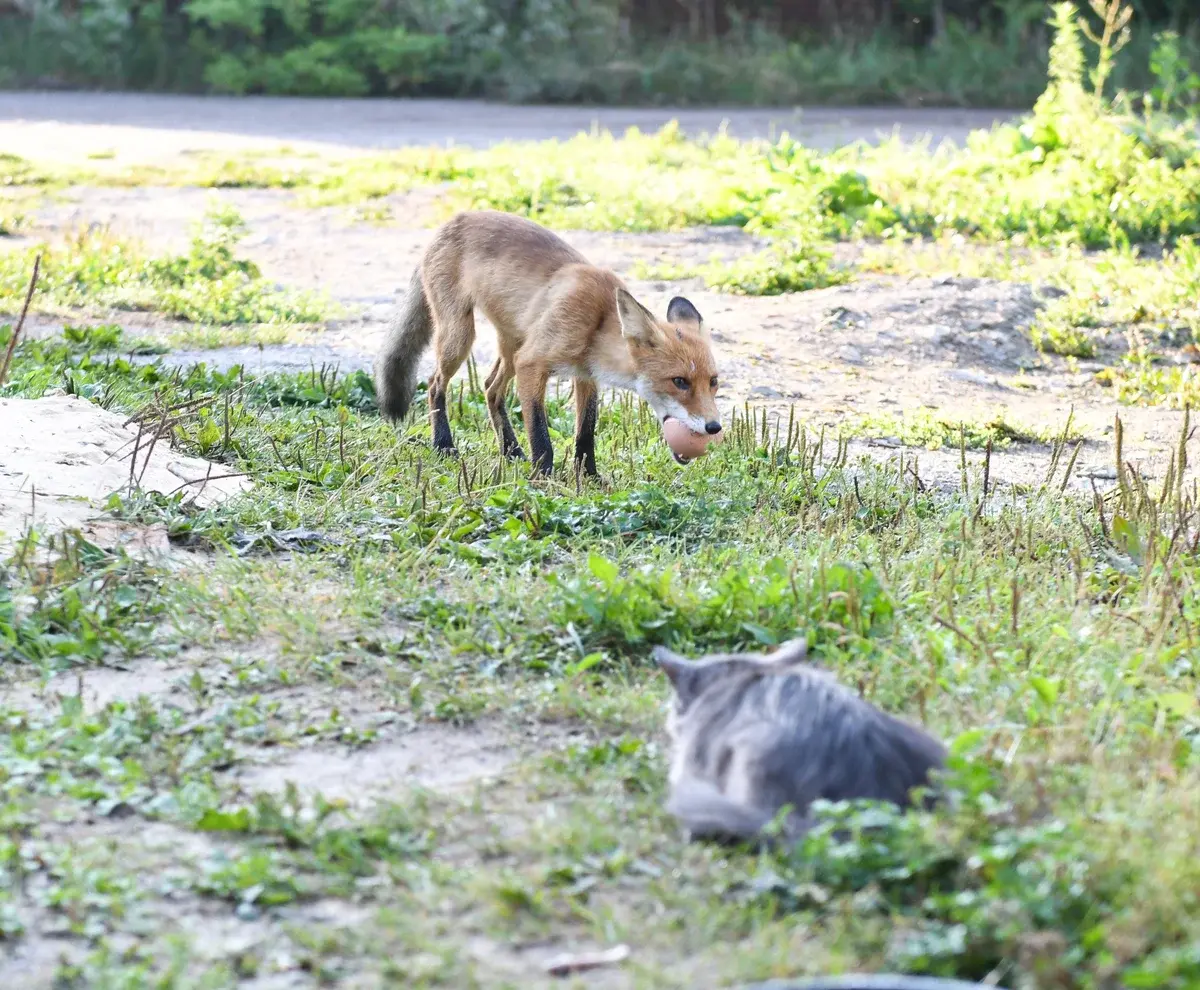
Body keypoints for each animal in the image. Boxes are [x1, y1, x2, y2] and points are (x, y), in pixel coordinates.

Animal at [372, 208, 720, 475]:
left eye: (713, 382)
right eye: (679, 381)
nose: (714, 427)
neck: (597, 319)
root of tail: (452, 220)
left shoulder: (585, 375)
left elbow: (585, 432)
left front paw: (589, 477)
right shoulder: (533, 363)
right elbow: (540, 434)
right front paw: (543, 478)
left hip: (513, 345)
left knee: (490, 388)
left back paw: (511, 451)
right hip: (461, 336)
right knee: (435, 385)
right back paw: (444, 445)